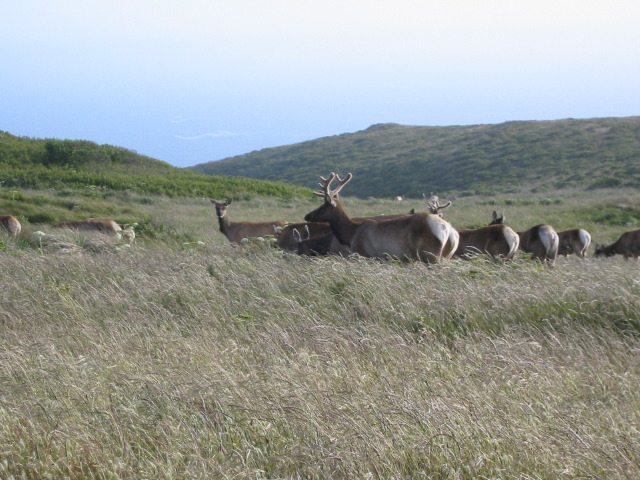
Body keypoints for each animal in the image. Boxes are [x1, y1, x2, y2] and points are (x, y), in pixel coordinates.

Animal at [304, 173, 456, 263]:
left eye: (323, 206)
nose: (307, 216)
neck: (351, 234)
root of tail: (449, 229)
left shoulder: (368, 256)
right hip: (446, 255)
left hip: (430, 255)